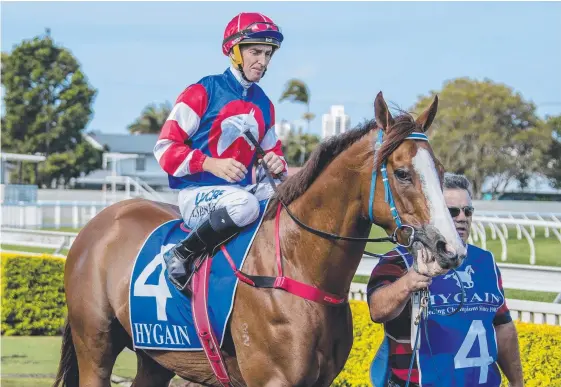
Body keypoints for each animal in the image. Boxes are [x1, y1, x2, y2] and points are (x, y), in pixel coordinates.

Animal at [53, 92, 464, 386]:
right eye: (402, 173)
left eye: (440, 169)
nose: (451, 248)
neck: (297, 269)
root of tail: (96, 225)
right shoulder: (271, 379)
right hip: (96, 347)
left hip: (155, 356)